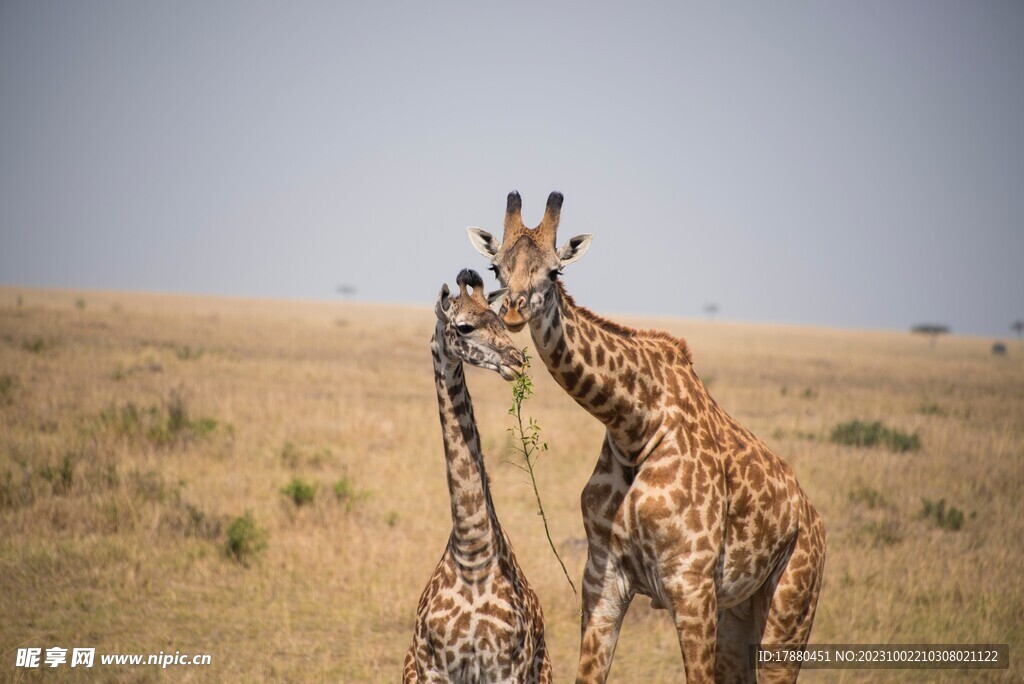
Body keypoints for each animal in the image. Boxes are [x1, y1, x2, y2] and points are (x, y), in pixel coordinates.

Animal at [403, 266, 557, 684]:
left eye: (500, 319)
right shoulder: (433, 669)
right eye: (465, 326)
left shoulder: (508, 668)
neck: (472, 554)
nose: (517, 360)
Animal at [468, 192, 827, 684]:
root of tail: (812, 519)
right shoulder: (602, 579)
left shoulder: (691, 586)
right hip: (737, 614)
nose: (514, 310)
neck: (634, 426)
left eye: (555, 272)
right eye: (495, 269)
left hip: (791, 605)